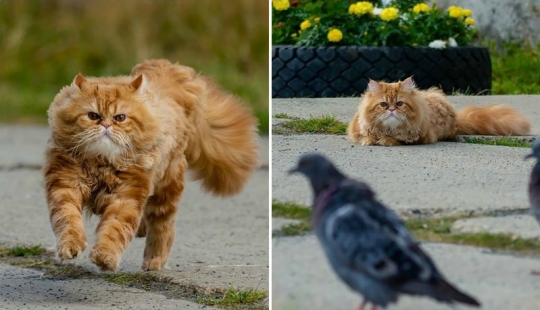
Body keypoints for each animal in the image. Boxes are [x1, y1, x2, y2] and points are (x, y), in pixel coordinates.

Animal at [44, 58, 260, 272]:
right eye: (93, 116)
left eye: (120, 117)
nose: (106, 125)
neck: (102, 163)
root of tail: (172, 68)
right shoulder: (65, 187)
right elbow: (68, 220)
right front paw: (70, 247)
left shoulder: (126, 197)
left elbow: (114, 231)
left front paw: (105, 257)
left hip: (165, 191)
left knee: (163, 228)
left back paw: (154, 260)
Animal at [346, 77, 532, 146]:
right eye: (384, 104)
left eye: (399, 103)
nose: (392, 109)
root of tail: (456, 119)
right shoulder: (356, 129)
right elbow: (365, 135)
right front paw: (371, 139)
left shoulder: (418, 137)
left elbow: (395, 139)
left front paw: (386, 140)